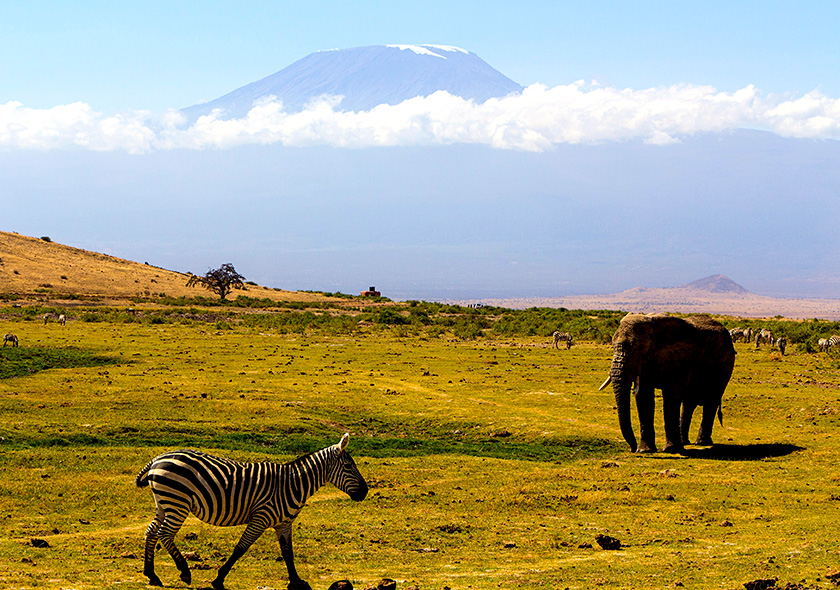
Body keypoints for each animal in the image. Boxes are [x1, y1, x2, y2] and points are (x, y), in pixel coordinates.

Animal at [137, 434, 368, 590]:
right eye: (349, 466)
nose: (365, 491)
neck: (292, 485)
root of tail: (158, 458)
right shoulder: (261, 518)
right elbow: (240, 548)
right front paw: (218, 579)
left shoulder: (284, 523)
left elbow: (288, 552)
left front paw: (296, 582)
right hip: (178, 503)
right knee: (165, 534)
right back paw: (184, 572)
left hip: (164, 503)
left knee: (151, 533)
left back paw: (152, 575)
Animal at [596, 316, 736, 456]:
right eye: (613, 346)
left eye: (638, 348)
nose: (632, 449)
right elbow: (644, 397)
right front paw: (645, 450)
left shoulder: (680, 358)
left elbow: (671, 396)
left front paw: (671, 450)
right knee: (688, 404)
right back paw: (685, 442)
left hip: (725, 365)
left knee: (711, 401)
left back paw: (701, 443)